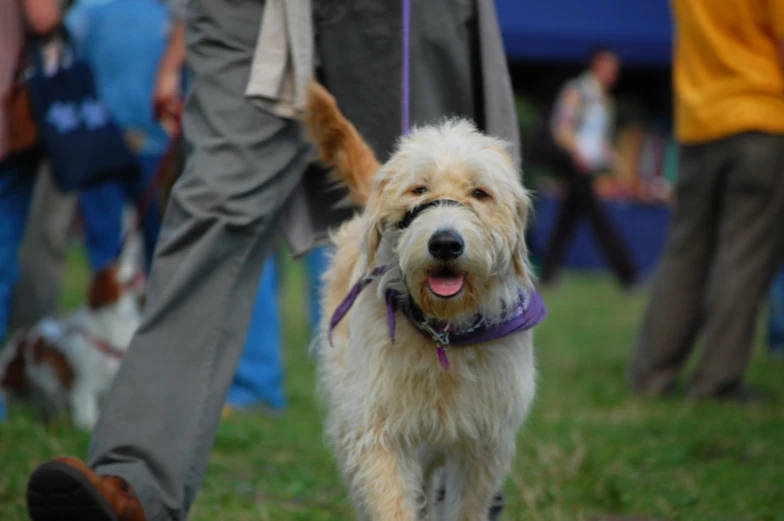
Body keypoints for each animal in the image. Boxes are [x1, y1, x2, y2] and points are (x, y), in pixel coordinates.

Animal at [0, 256, 145, 430]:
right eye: (117, 268)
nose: (136, 267)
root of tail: (19, 337)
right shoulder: (85, 383)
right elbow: (87, 411)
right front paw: (88, 425)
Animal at [304, 84, 544, 520]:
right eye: (419, 190)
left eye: (479, 193)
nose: (445, 243)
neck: (443, 333)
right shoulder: (379, 434)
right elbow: (392, 503)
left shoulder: (481, 446)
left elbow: (467, 508)